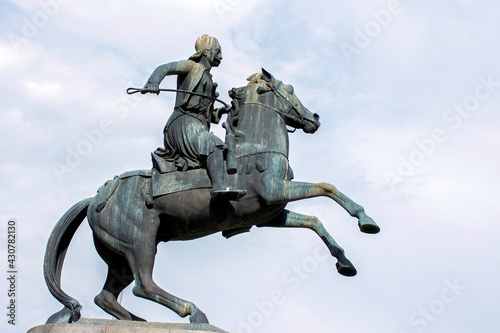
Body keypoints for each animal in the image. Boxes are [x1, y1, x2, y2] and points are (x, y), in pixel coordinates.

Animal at [45, 68, 378, 324]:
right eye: (291, 90)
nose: (315, 118)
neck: (256, 147)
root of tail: (97, 196)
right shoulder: (275, 192)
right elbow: (327, 187)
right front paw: (366, 220)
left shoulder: (269, 214)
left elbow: (314, 221)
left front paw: (344, 262)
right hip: (141, 240)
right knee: (143, 285)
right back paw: (193, 312)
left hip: (118, 255)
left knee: (107, 296)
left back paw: (137, 320)